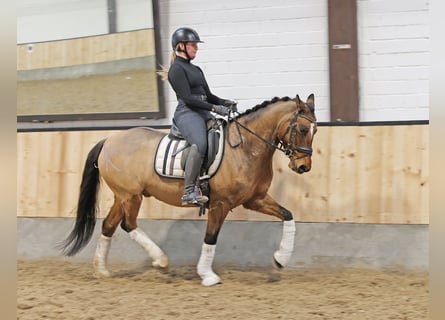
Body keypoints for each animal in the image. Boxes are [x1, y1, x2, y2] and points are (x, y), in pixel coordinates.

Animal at [62, 94, 318, 286]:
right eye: (303, 129)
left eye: (315, 131)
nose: (303, 167)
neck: (245, 148)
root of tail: (109, 140)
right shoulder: (220, 204)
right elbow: (211, 237)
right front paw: (207, 275)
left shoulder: (255, 199)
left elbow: (288, 215)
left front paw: (280, 259)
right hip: (131, 196)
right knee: (128, 224)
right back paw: (160, 260)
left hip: (122, 196)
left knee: (109, 225)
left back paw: (102, 270)